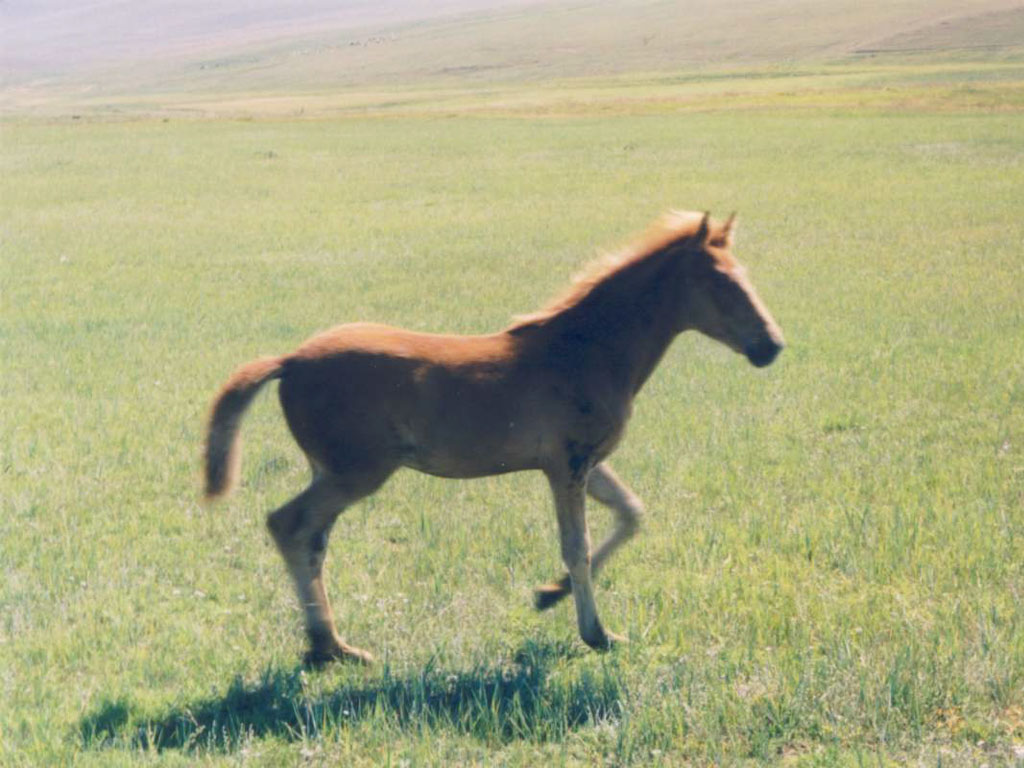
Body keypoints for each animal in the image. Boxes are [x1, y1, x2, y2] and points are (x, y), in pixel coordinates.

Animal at [205, 210, 782, 667]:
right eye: (722, 284)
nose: (771, 346)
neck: (586, 350)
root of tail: (290, 361)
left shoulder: (585, 463)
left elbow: (631, 513)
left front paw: (550, 594)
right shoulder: (567, 465)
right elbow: (577, 544)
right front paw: (596, 633)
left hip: (330, 470)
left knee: (312, 539)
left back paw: (329, 645)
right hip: (357, 470)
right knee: (289, 525)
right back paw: (329, 646)